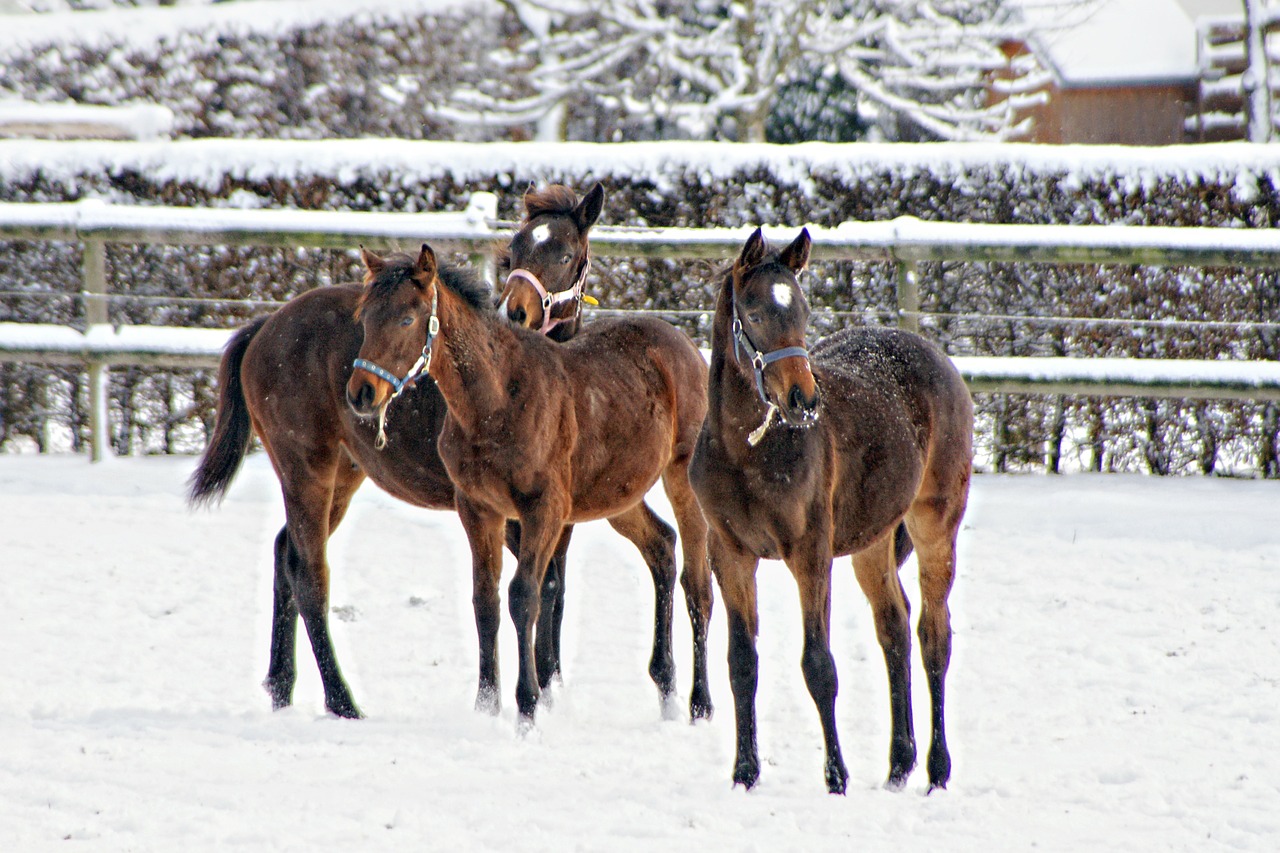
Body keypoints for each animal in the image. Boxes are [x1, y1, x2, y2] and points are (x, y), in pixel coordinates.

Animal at [186, 188, 596, 717]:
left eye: (565, 254)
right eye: (515, 248)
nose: (517, 311)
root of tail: (265, 326)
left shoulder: (556, 515)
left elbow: (553, 591)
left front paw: (550, 687)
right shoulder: (499, 511)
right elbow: (524, 593)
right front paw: (530, 692)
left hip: (344, 474)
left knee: (284, 553)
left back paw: (281, 686)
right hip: (306, 469)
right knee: (308, 573)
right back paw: (341, 701)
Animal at [345, 242, 716, 722]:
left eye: (407, 319)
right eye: (365, 318)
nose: (361, 393)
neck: (496, 400)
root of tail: (686, 345)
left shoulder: (544, 509)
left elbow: (524, 597)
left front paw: (528, 708)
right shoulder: (478, 509)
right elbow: (485, 601)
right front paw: (486, 706)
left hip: (680, 479)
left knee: (698, 583)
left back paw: (700, 704)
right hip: (616, 492)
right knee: (662, 547)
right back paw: (666, 688)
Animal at [691, 225, 967, 788]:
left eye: (802, 311)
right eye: (755, 314)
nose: (803, 400)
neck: (746, 451)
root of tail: (936, 357)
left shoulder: (810, 555)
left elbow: (819, 666)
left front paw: (836, 777)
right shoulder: (729, 554)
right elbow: (741, 663)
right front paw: (745, 772)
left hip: (935, 526)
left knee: (934, 635)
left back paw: (936, 768)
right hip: (872, 541)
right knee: (894, 627)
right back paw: (899, 764)